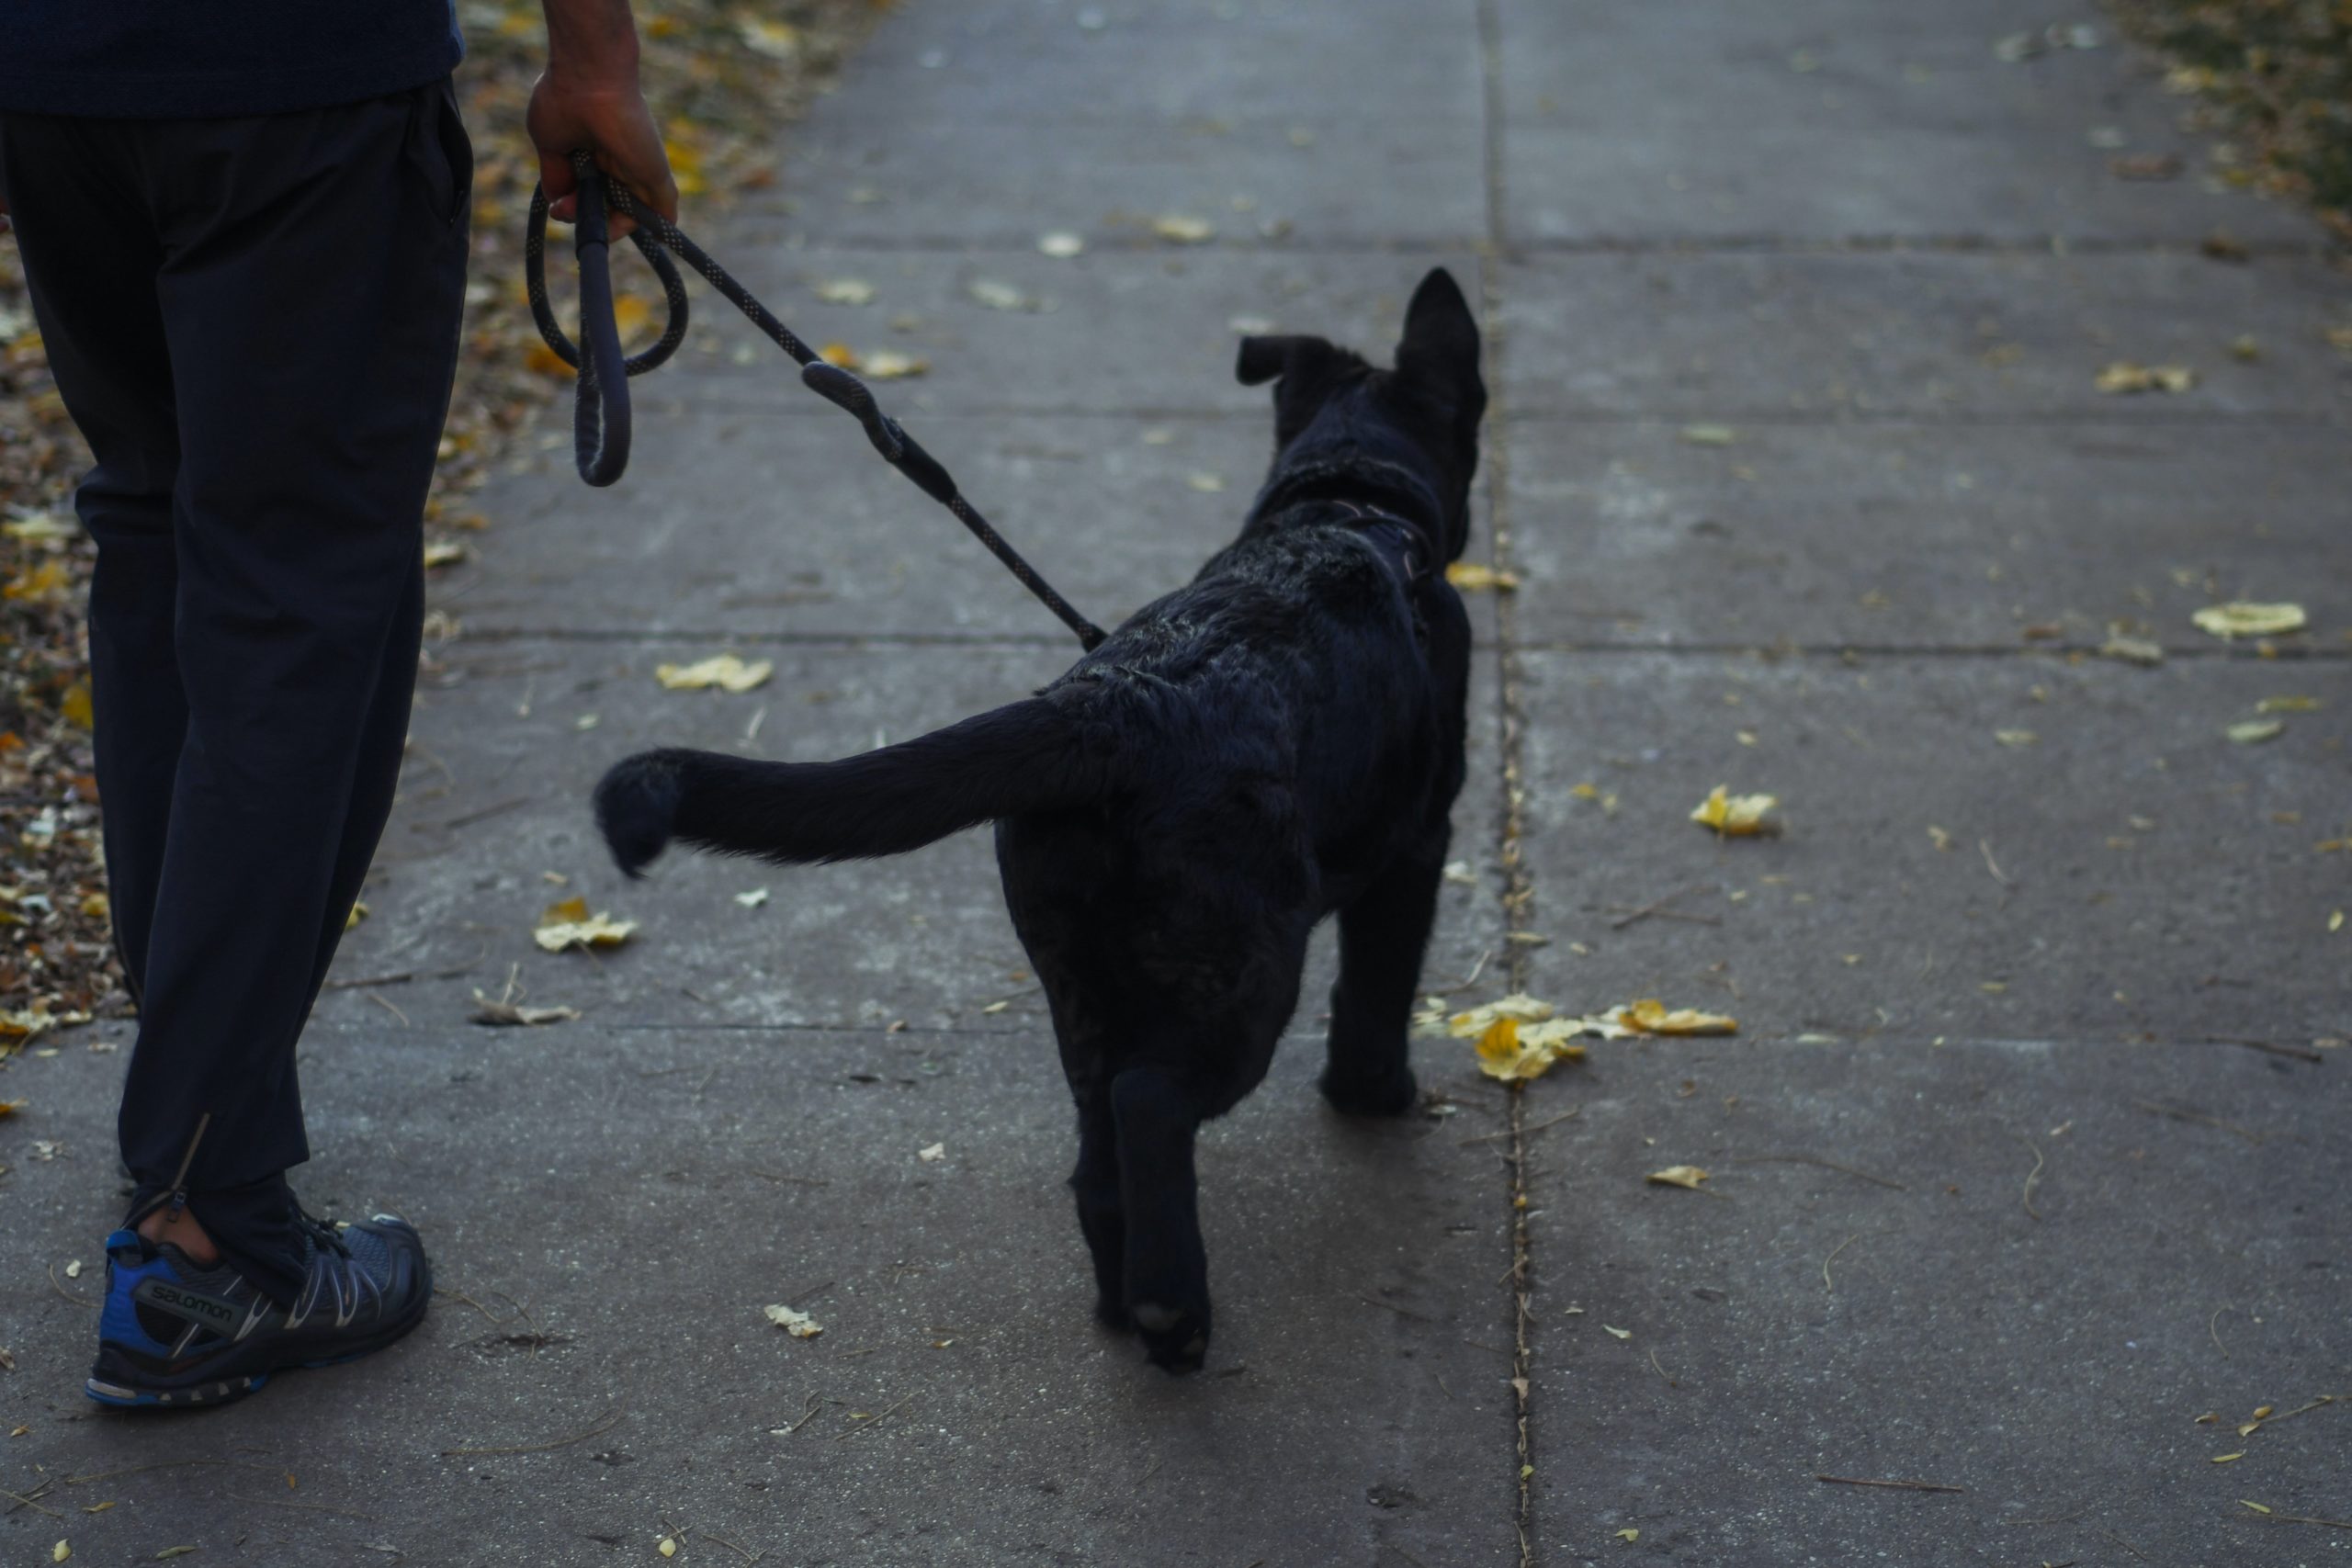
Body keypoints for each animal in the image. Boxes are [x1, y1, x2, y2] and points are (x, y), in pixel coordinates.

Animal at [593, 272, 1467, 1372]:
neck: (1347, 508)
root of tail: (1116, 707)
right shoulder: (1418, 844)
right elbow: (1379, 984)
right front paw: (1373, 1093)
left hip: (1078, 977)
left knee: (1100, 1148)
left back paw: (1129, 1306)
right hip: (1241, 972)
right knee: (1151, 1103)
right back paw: (1174, 1313)